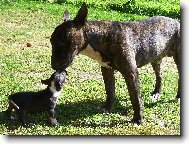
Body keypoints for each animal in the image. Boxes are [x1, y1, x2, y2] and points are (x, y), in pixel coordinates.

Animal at [49, 2, 180, 124]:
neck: (98, 36)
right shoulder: (106, 70)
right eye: (51, 41)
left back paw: (177, 97)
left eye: (62, 42)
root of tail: (177, 22)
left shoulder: (131, 74)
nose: (53, 66)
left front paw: (138, 119)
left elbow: (135, 98)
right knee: (159, 75)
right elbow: (110, 90)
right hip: (155, 57)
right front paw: (108, 107)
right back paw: (156, 93)